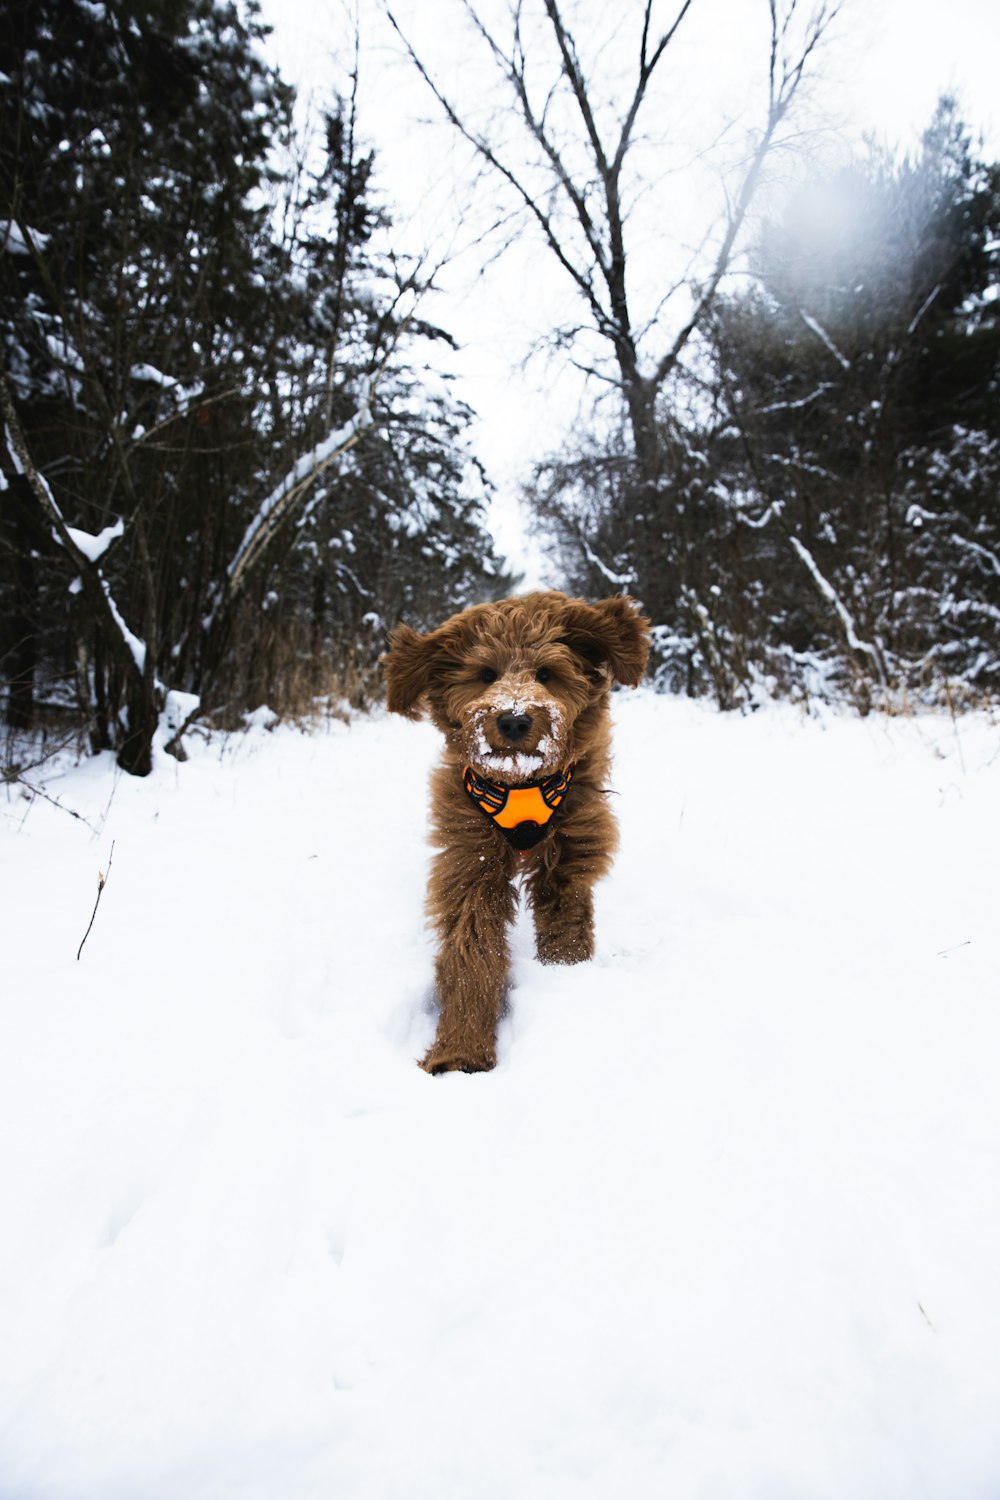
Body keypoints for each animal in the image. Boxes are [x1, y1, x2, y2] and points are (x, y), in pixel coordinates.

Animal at [380, 591, 650, 1074]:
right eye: (486, 674)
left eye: (546, 674)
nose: (514, 720)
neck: (520, 782)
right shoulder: (471, 858)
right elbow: (472, 947)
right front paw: (461, 1052)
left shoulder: (569, 853)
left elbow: (565, 923)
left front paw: (564, 973)